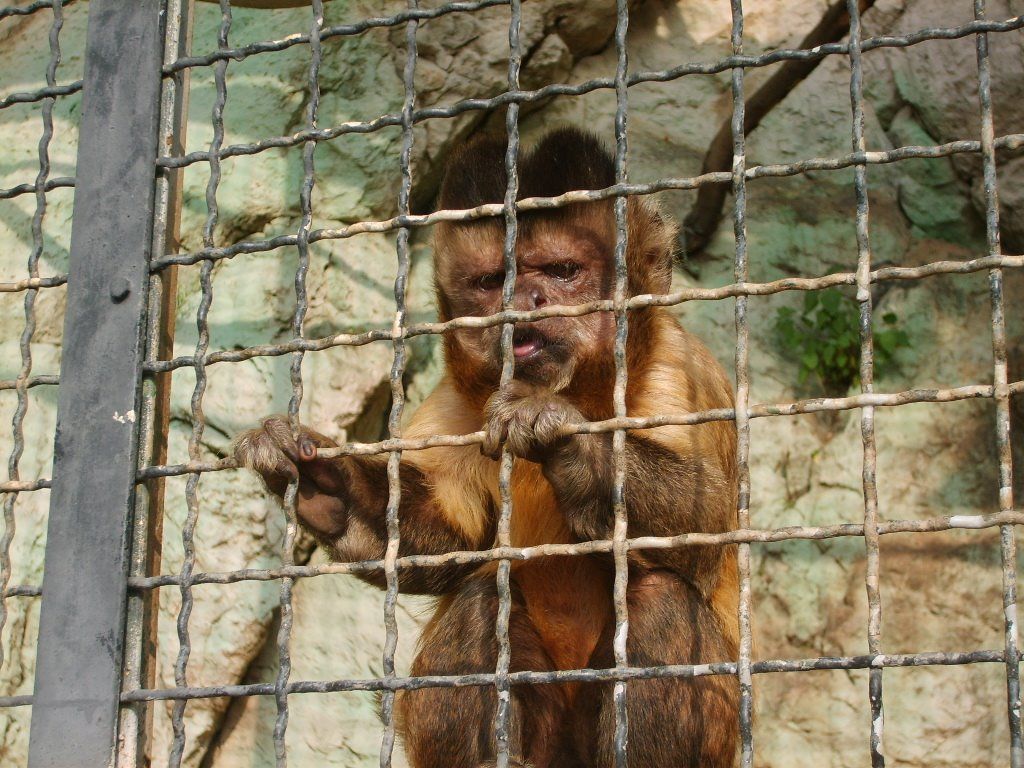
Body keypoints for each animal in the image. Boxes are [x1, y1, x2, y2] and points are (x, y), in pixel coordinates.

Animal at [233, 127, 740, 768]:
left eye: (563, 270)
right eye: (490, 282)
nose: (524, 301)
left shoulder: (677, 369)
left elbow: (705, 526)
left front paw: (571, 443)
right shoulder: (457, 402)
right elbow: (448, 540)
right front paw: (327, 484)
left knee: (661, 594)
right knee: (479, 596)